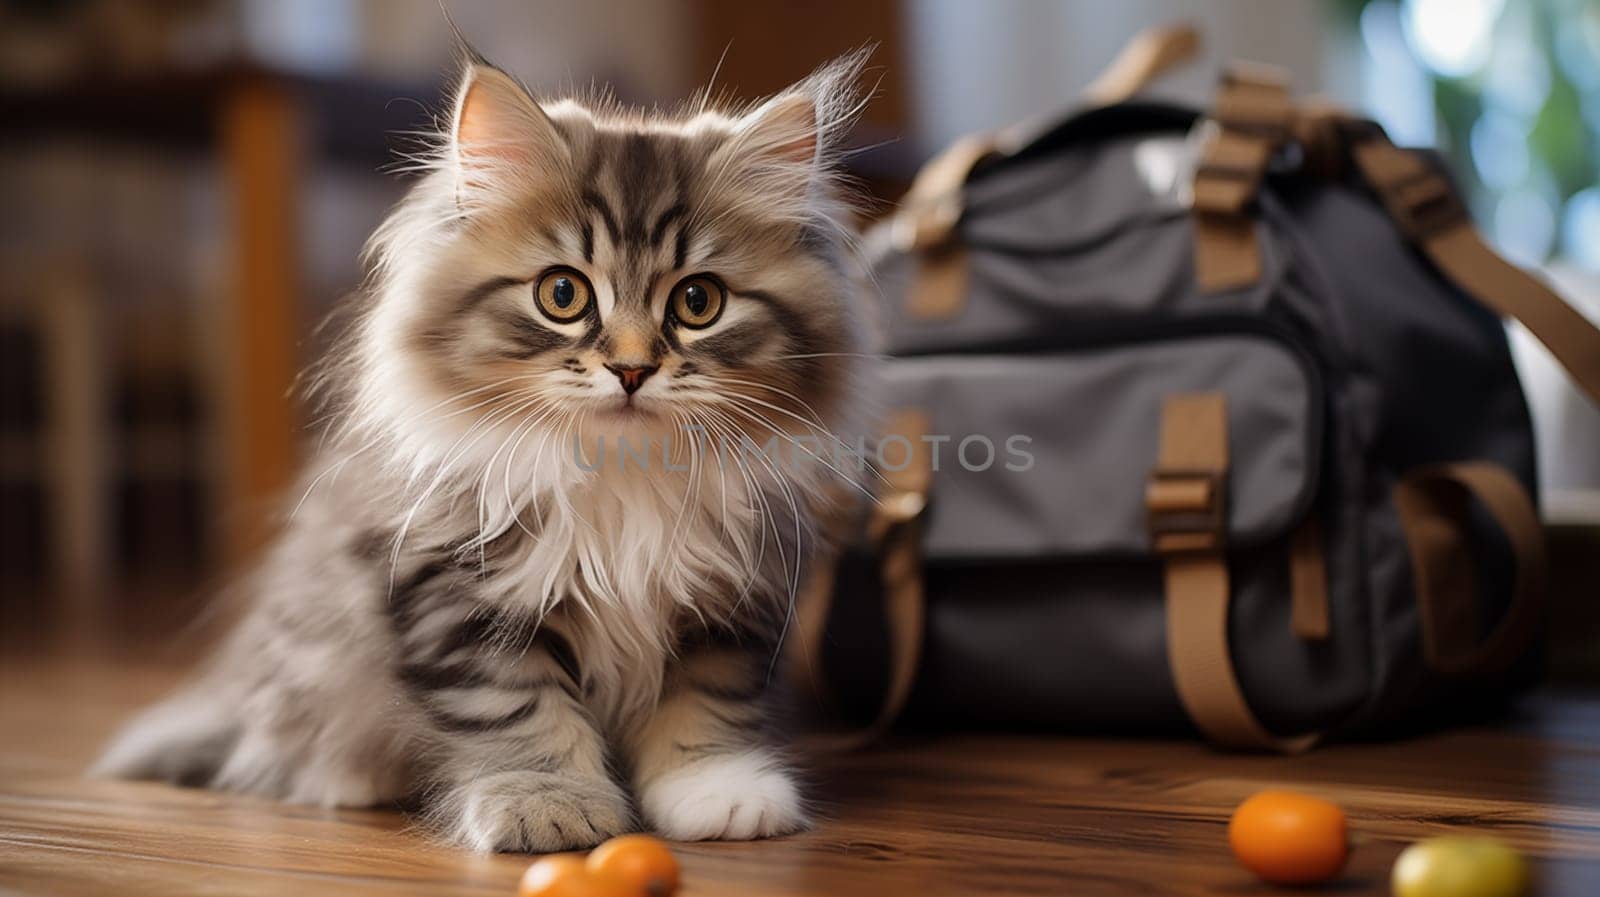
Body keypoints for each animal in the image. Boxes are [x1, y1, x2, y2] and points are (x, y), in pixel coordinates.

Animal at [96, 52, 876, 850]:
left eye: (698, 303)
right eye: (563, 294)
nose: (631, 369)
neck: (619, 479)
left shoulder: (733, 596)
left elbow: (708, 699)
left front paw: (717, 790)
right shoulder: (461, 596)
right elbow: (521, 710)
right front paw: (548, 803)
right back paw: (352, 778)